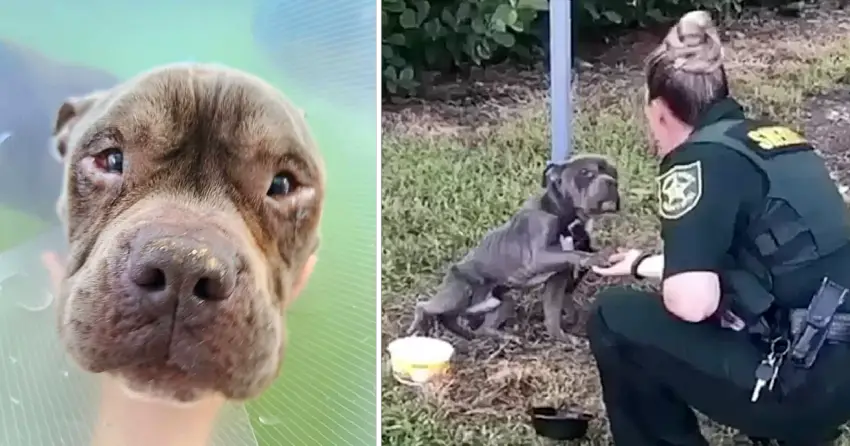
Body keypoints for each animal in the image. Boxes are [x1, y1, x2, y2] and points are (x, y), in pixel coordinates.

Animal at [408, 155, 620, 340]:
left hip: (502, 302)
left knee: (479, 327)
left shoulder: (557, 279)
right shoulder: (539, 256)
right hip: (459, 293)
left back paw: (502, 337)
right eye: (585, 172)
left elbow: (553, 313)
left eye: (612, 172)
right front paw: (595, 257)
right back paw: (420, 324)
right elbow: (575, 253)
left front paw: (563, 336)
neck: (566, 216)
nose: (612, 182)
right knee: (425, 306)